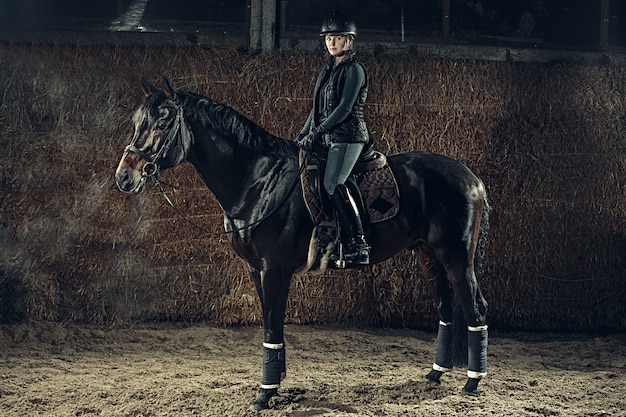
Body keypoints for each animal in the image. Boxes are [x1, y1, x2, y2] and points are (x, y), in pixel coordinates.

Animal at [114, 75, 490, 410]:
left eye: (163, 123)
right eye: (137, 122)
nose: (124, 176)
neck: (259, 180)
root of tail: (471, 178)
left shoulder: (274, 269)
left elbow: (271, 325)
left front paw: (265, 393)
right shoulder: (255, 269)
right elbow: (272, 323)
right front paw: (276, 380)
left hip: (456, 257)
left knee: (475, 308)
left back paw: (472, 382)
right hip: (428, 255)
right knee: (445, 308)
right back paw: (435, 374)